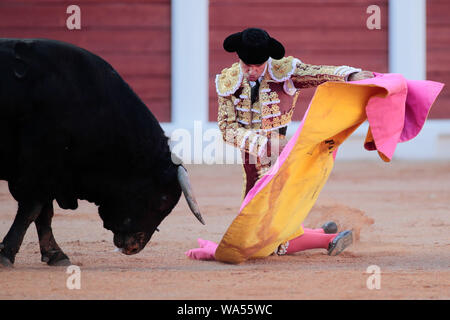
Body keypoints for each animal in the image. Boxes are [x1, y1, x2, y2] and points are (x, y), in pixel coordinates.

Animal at [0, 38, 204, 268]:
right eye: (161, 201)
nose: (134, 247)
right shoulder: (38, 167)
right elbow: (32, 209)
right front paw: (6, 253)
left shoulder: (49, 173)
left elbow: (44, 212)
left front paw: (55, 254)